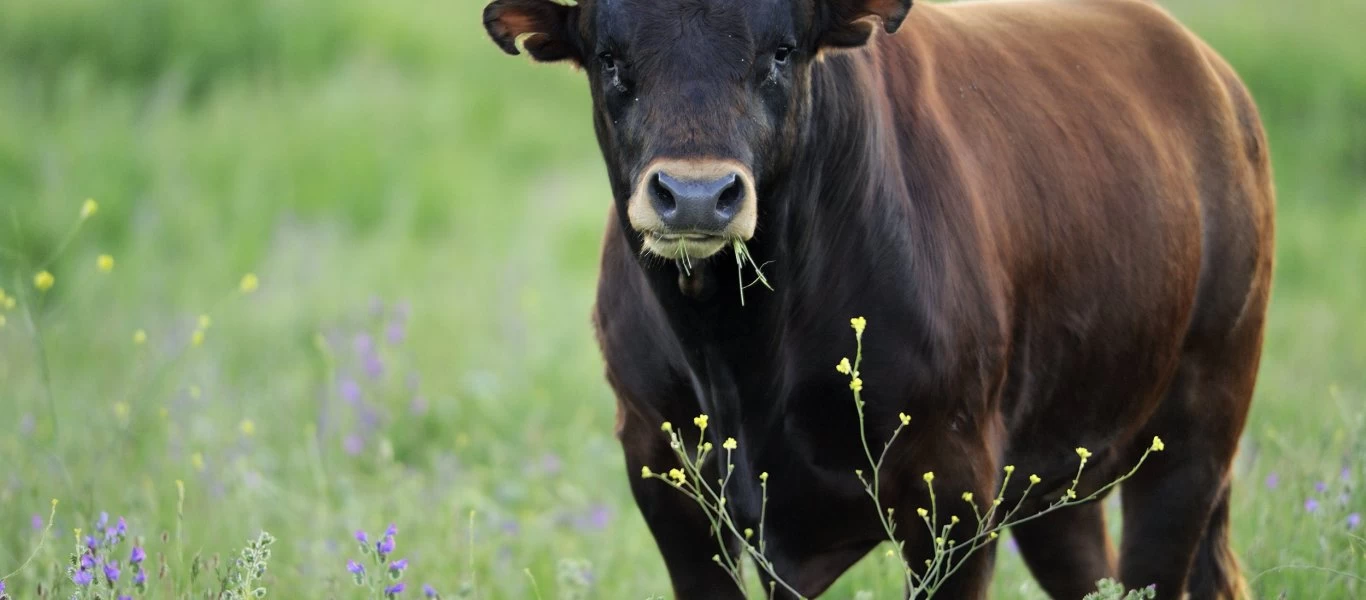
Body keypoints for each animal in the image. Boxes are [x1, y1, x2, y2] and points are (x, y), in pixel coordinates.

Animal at [483, 1, 1267, 595]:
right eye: (611, 59)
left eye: (781, 52)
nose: (698, 195)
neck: (739, 352)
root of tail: (1216, 77)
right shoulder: (663, 472)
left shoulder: (951, 486)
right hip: (1061, 479)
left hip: (1196, 433)